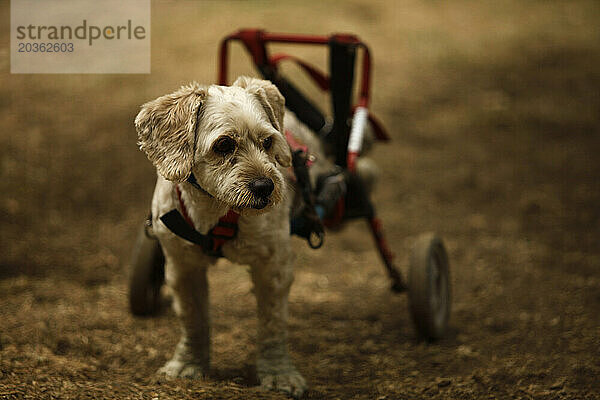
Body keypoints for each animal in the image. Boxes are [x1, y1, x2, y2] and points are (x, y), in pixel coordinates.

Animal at [134, 76, 322, 396]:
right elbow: (193, 318)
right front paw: (188, 365)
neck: (218, 211)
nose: (265, 186)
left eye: (268, 142)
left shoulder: (274, 265)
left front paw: (279, 375)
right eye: (224, 144)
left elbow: (272, 323)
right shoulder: (182, 266)